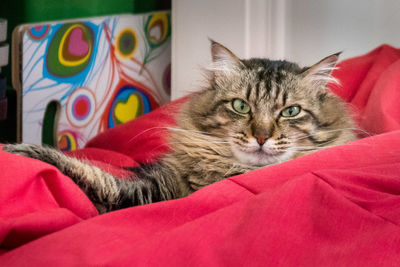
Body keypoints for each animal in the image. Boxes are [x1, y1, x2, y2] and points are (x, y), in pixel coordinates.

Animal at [0, 40, 356, 215]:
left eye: (290, 111)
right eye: (241, 106)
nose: (261, 137)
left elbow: (88, 173)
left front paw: (15, 148)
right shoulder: (148, 187)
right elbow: (88, 171)